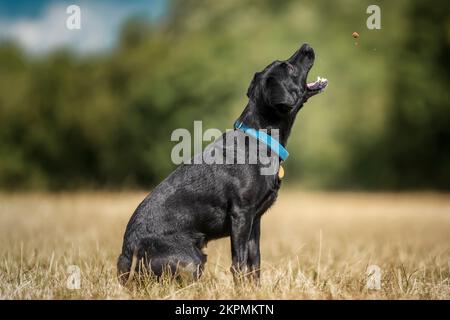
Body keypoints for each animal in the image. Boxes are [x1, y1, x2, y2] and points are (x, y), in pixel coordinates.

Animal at [116, 42, 326, 282]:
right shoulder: (241, 214)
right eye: (289, 67)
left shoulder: (255, 220)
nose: (306, 46)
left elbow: (255, 263)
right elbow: (239, 263)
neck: (259, 139)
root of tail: (126, 258)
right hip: (191, 260)